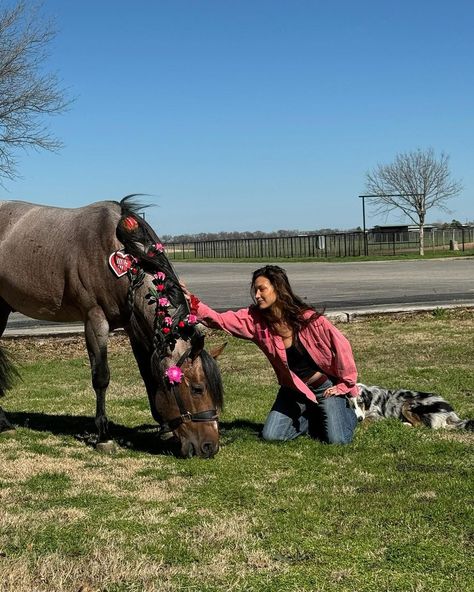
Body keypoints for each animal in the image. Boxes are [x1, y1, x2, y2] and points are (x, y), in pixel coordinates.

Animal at [0, 194, 225, 458]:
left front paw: (164, 429)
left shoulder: (133, 326)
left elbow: (148, 373)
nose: (209, 446)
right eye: (198, 388)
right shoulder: (95, 320)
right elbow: (101, 377)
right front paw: (104, 436)